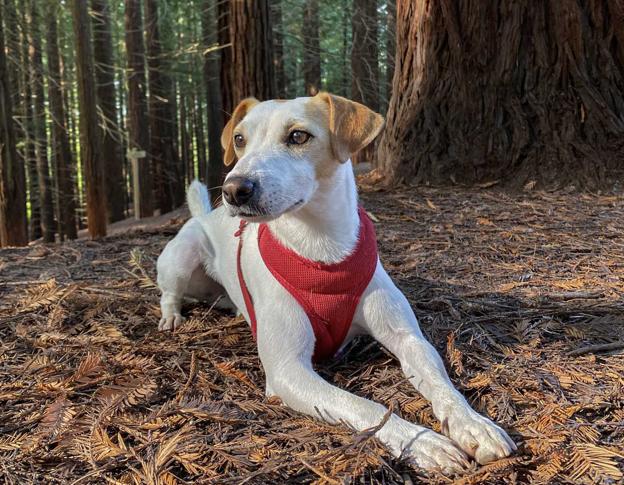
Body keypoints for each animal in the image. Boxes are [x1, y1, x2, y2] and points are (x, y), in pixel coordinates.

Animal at [157, 91, 516, 472]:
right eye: (239, 139)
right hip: (180, 259)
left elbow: (442, 383)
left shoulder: (409, 340)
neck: (321, 250)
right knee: (170, 292)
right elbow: (365, 406)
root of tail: (205, 214)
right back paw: (171, 316)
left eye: (298, 136)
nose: (234, 189)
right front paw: (424, 443)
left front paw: (473, 424)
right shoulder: (288, 370)